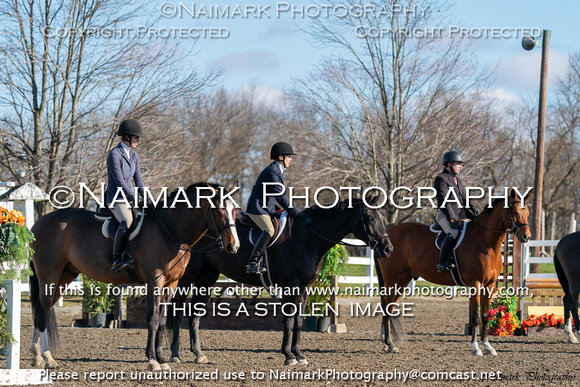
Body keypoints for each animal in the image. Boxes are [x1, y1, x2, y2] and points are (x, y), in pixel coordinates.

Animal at [26, 183, 240, 372]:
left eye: (235, 210)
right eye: (218, 210)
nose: (234, 246)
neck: (171, 231)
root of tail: (38, 224)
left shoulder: (171, 284)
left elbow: (162, 321)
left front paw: (162, 359)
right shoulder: (154, 281)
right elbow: (153, 319)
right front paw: (153, 361)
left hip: (64, 277)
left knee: (41, 309)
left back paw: (37, 357)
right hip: (49, 275)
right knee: (43, 311)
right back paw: (48, 358)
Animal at [168, 197, 394, 366]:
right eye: (370, 217)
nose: (387, 249)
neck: (307, 238)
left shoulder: (305, 288)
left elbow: (299, 321)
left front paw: (299, 354)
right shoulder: (290, 286)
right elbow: (288, 320)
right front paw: (288, 356)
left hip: (207, 276)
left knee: (194, 314)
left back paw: (198, 354)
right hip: (187, 278)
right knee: (178, 313)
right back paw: (175, 355)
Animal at [376, 189, 532, 356]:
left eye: (528, 213)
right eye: (516, 212)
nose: (526, 236)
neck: (485, 242)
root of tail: (386, 235)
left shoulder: (489, 285)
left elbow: (485, 316)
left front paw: (488, 346)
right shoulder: (476, 284)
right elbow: (475, 317)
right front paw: (476, 347)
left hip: (403, 280)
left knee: (390, 307)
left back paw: (387, 343)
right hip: (393, 279)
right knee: (386, 308)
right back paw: (389, 343)